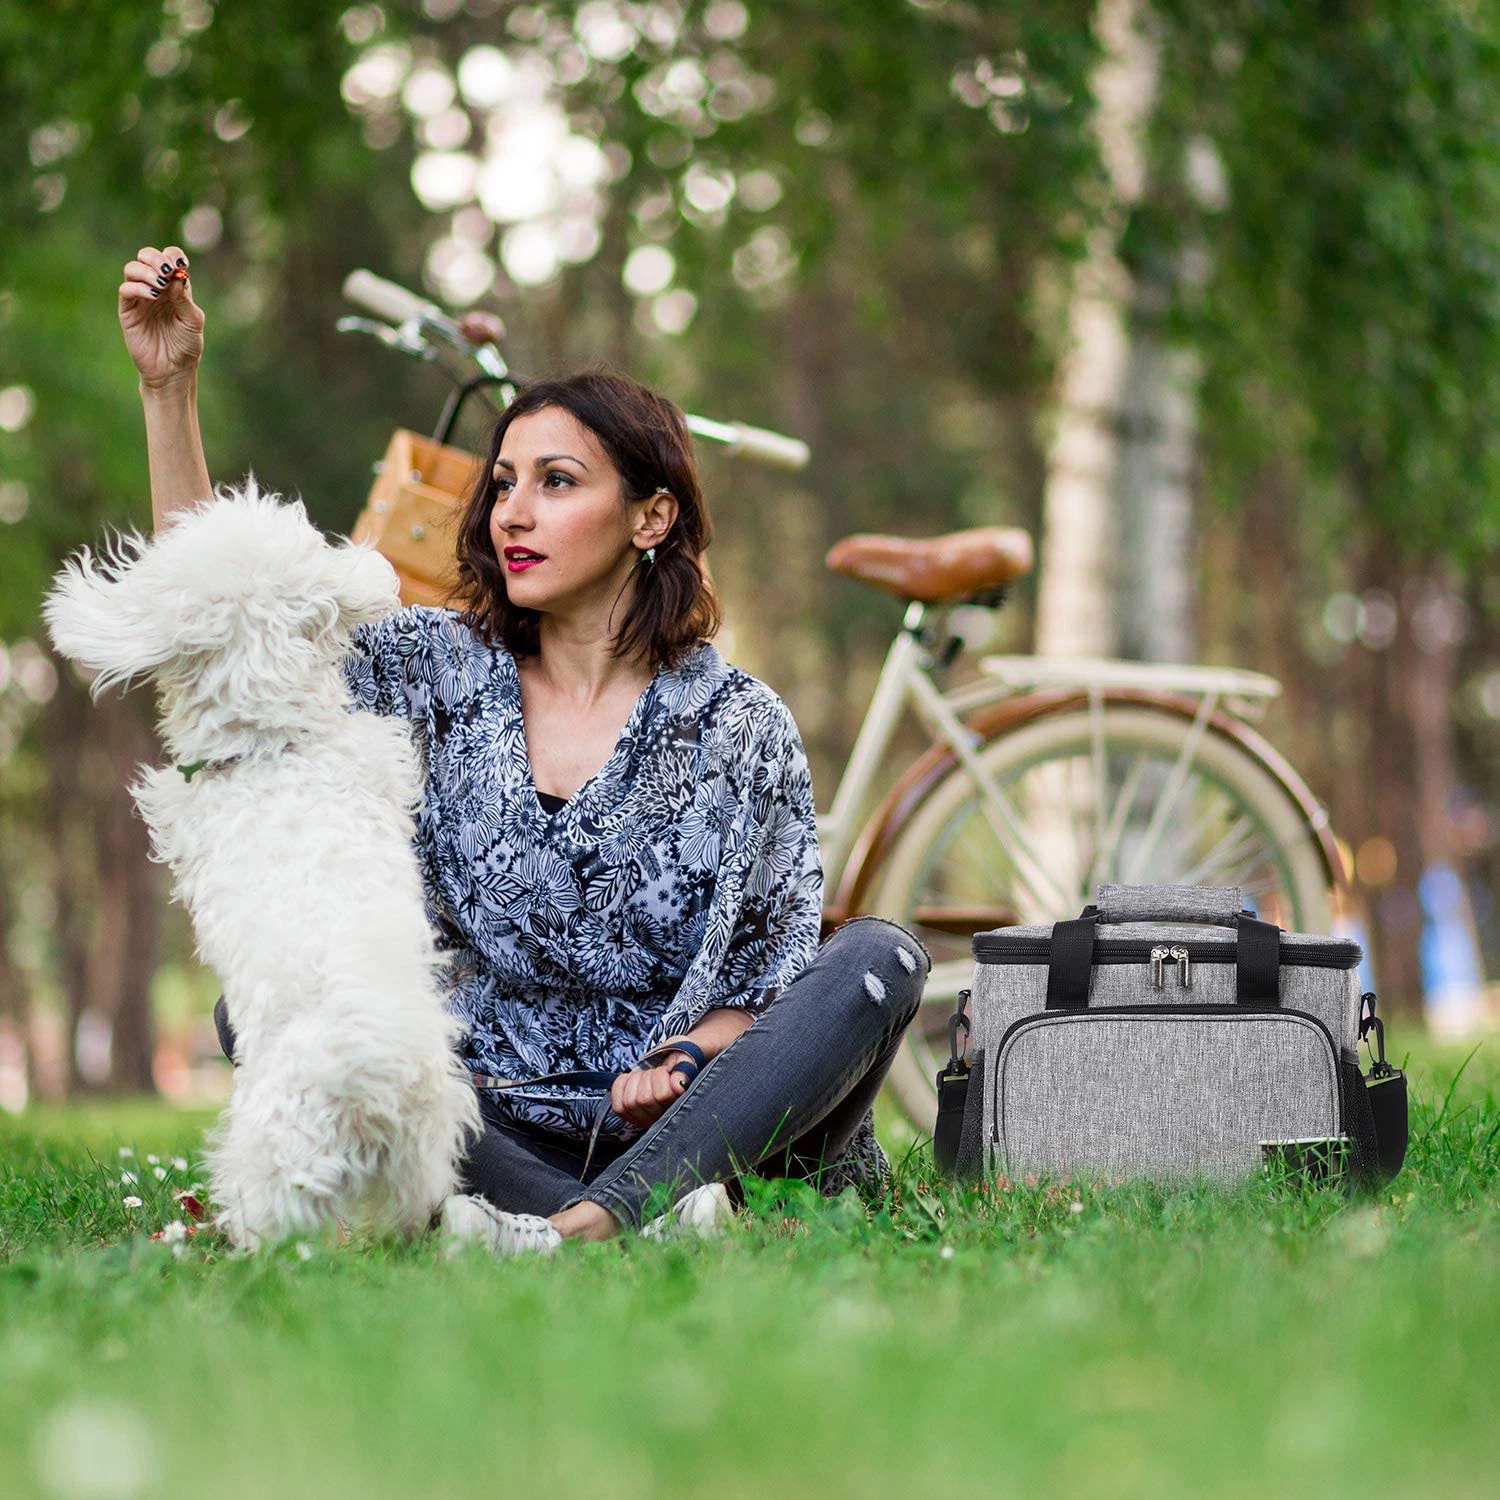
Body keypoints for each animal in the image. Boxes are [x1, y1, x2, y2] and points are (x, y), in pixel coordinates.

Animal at [43, 483, 480, 1254]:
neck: (273, 747)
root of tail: (367, 1067)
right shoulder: (374, 758)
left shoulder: (184, 809)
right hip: (424, 1146)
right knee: (403, 1208)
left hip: (266, 1147)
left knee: (277, 1224)